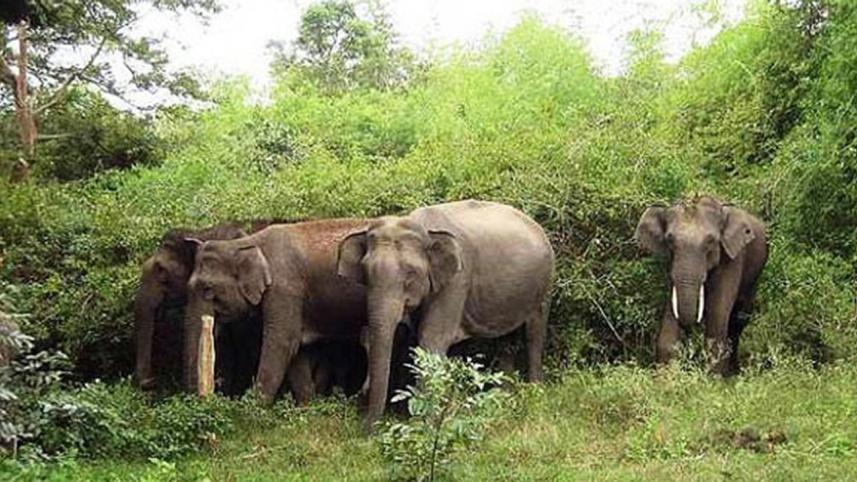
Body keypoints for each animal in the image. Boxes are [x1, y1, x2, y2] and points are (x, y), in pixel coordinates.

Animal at [336, 200, 555, 430]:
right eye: (365, 273)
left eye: (411, 273)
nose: (364, 429)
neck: (424, 228)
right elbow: (414, 341)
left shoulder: (457, 280)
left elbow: (431, 338)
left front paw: (424, 422)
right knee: (505, 340)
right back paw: (504, 396)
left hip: (546, 280)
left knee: (534, 332)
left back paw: (535, 392)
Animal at [634, 196, 768, 375]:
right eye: (669, 240)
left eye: (711, 241)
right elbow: (672, 307)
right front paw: (665, 378)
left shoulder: (733, 257)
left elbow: (718, 311)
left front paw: (714, 379)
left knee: (738, 320)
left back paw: (733, 373)